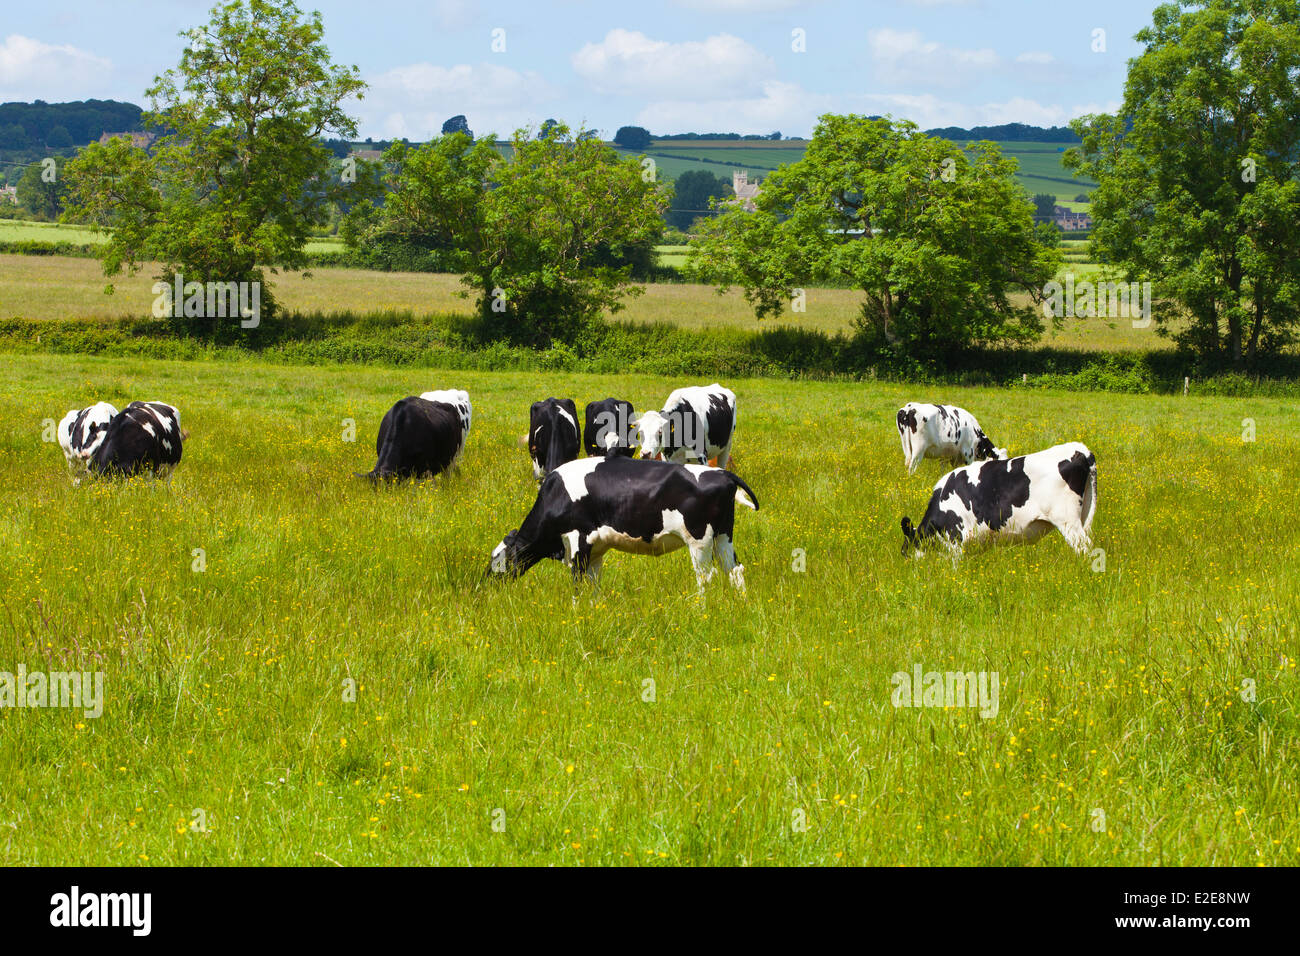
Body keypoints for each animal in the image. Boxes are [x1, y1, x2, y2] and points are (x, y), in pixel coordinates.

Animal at [488, 455, 759, 590]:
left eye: (497, 559)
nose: (486, 584)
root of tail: (723, 473)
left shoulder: (578, 539)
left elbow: (577, 580)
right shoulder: (596, 548)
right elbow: (593, 583)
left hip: (699, 540)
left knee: (706, 576)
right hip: (723, 536)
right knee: (736, 571)